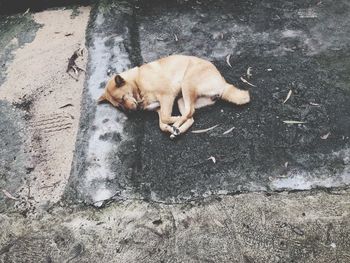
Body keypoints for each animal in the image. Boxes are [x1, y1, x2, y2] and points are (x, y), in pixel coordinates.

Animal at [98, 55, 250, 139]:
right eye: (120, 106)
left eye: (123, 97)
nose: (131, 112)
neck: (137, 82)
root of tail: (223, 83)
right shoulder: (158, 109)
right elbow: (161, 124)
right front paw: (169, 128)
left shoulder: (167, 96)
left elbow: (165, 118)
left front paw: (173, 123)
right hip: (181, 99)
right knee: (191, 116)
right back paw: (177, 130)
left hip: (186, 84)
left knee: (189, 113)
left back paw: (177, 126)